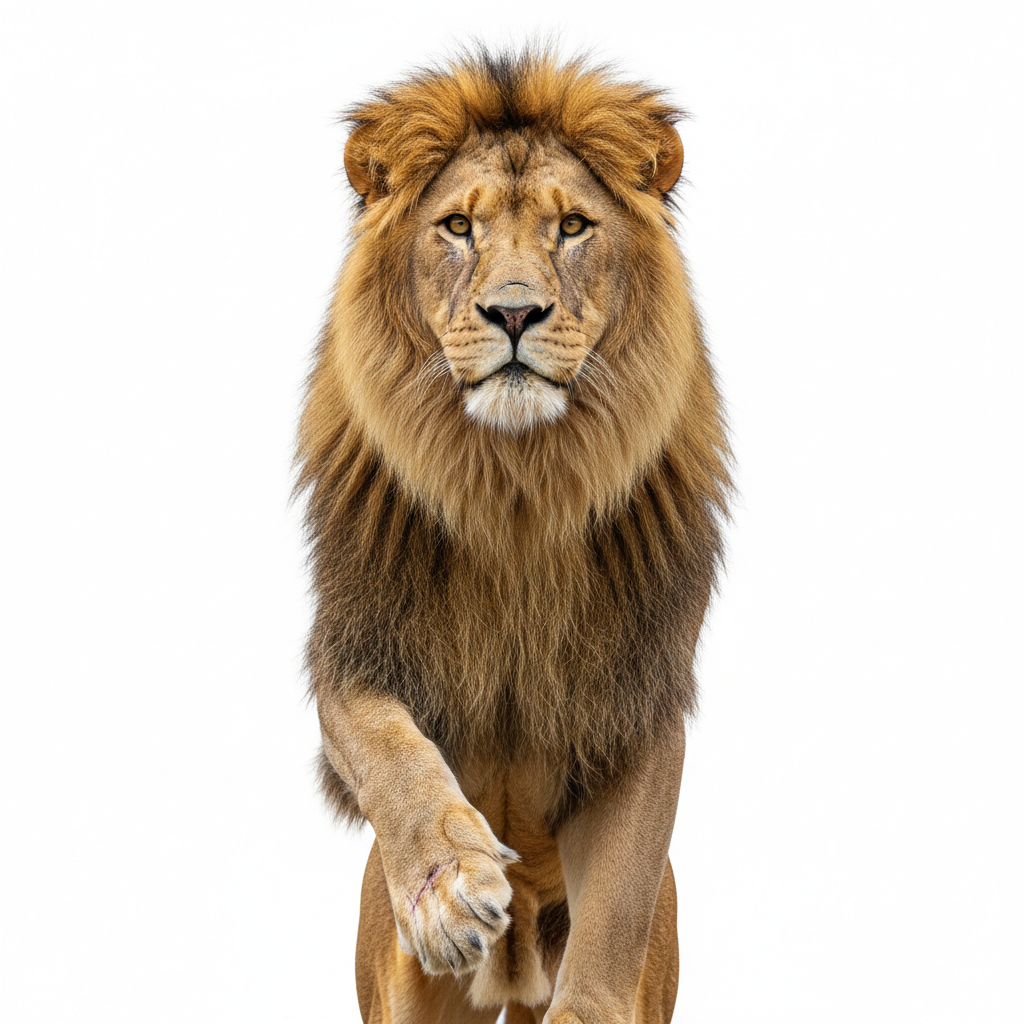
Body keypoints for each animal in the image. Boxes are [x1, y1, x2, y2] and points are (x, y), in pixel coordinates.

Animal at [296, 49, 730, 1024]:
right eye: (458, 226)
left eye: (572, 227)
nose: (516, 313)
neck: (515, 486)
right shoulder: (356, 650)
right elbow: (392, 755)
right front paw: (449, 888)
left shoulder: (638, 695)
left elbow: (616, 901)